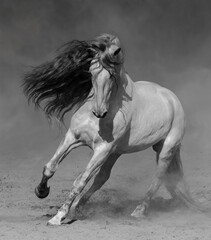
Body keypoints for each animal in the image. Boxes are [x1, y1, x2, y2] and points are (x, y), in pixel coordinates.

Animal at [23, 33, 195, 225]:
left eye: (112, 76)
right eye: (90, 71)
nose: (99, 112)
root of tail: (172, 98)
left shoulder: (102, 150)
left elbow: (80, 181)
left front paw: (58, 216)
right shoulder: (73, 137)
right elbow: (50, 167)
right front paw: (41, 191)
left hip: (166, 148)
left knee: (158, 178)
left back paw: (138, 211)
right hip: (117, 152)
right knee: (102, 178)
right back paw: (78, 207)